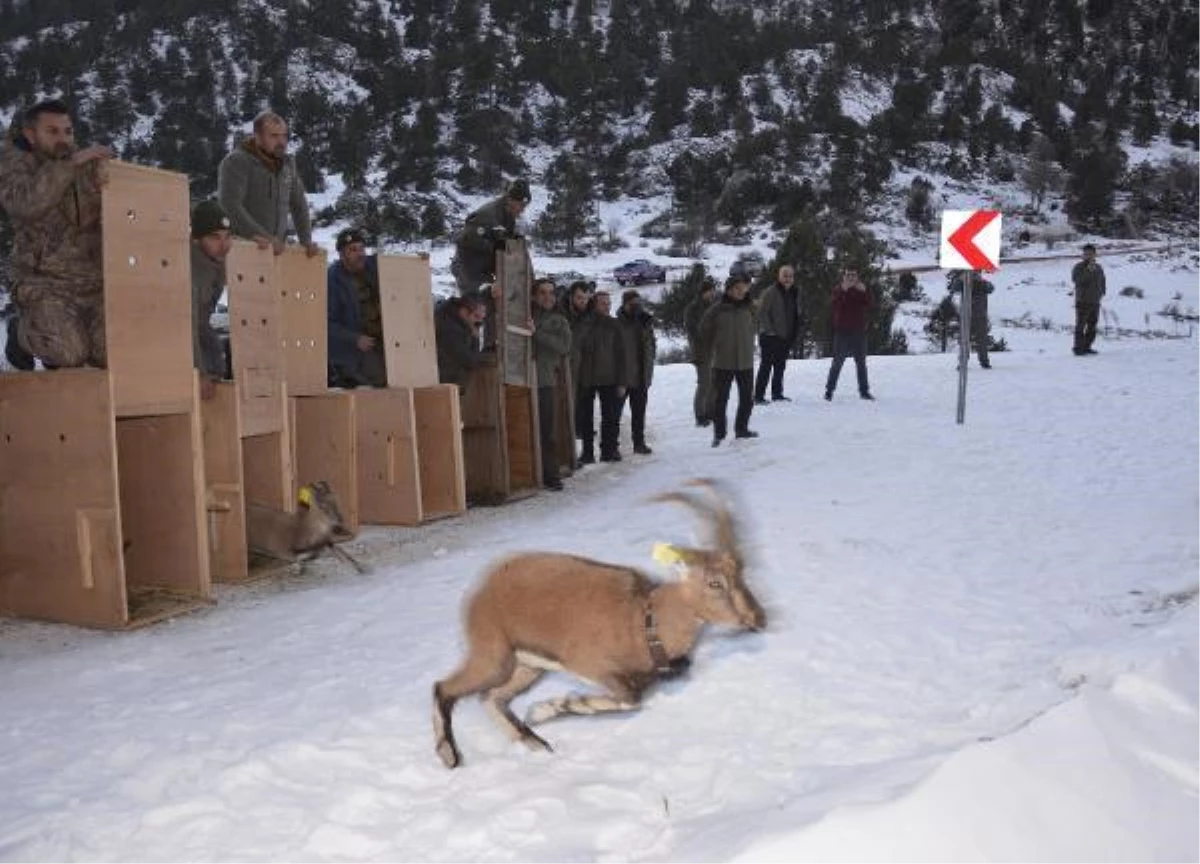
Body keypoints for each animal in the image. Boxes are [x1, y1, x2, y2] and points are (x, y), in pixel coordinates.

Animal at [434, 480, 768, 768]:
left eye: (741, 573)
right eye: (715, 583)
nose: (757, 618)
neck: (642, 621)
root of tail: (481, 590)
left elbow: (631, 699)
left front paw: (544, 711)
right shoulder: (591, 664)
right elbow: (629, 700)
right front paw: (556, 705)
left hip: (528, 666)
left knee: (491, 698)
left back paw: (535, 742)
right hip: (493, 655)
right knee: (444, 687)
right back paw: (449, 754)